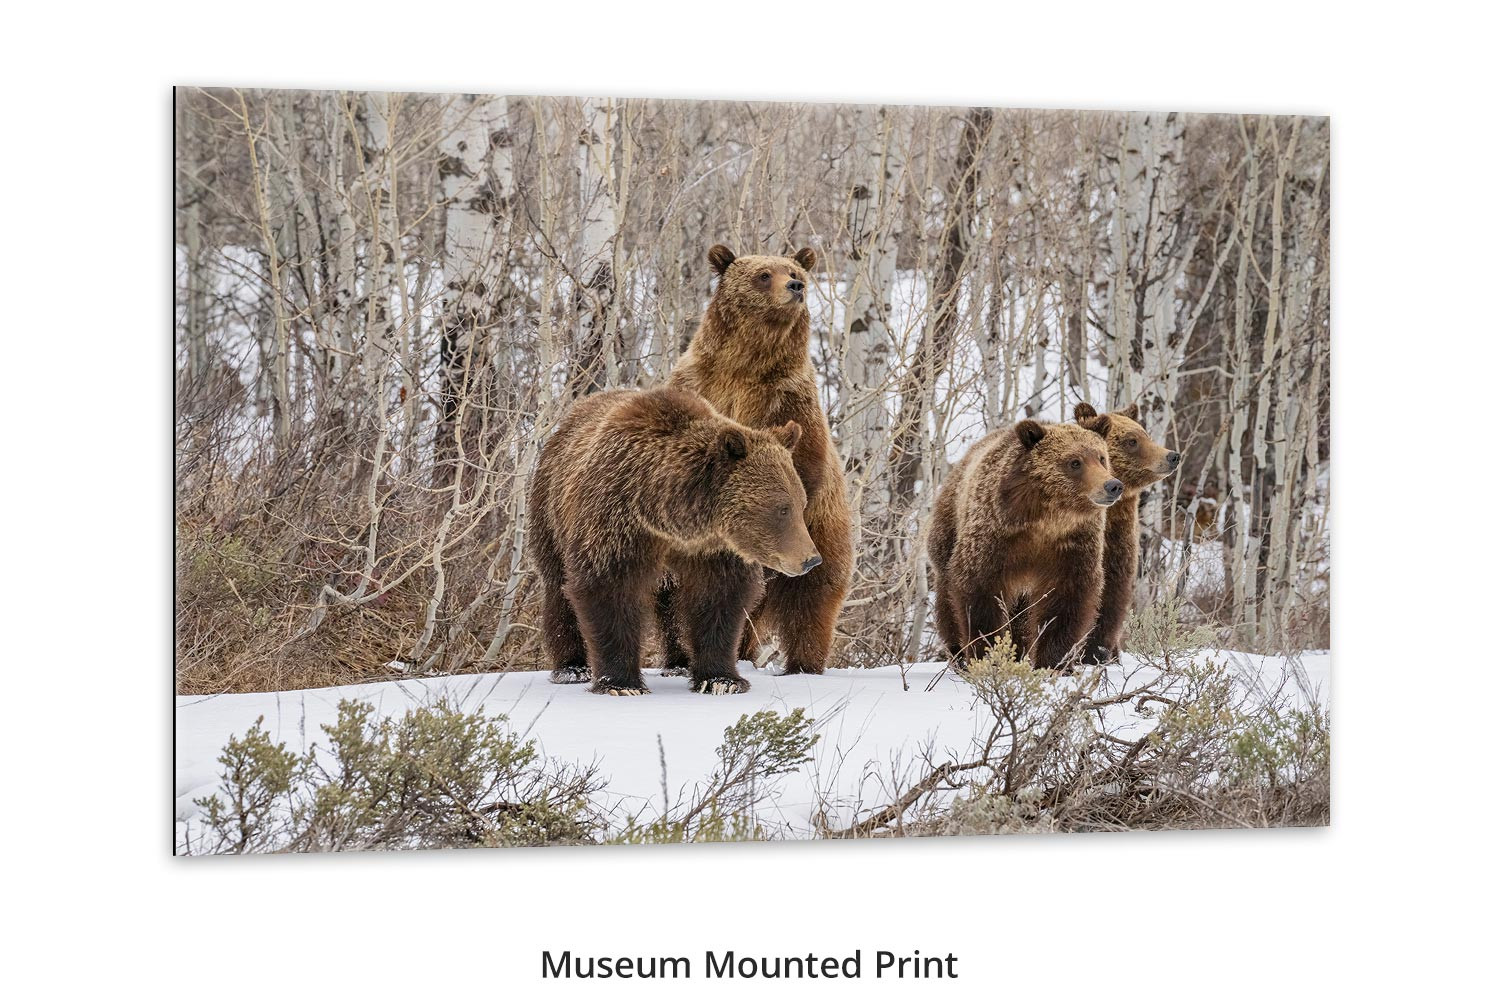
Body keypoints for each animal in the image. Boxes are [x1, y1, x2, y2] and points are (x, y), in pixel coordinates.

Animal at [527, 387, 819, 696]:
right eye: (782, 509)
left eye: (801, 503)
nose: (811, 559)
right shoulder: (616, 522)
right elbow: (608, 590)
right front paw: (621, 683)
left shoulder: (712, 550)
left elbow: (719, 599)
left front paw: (722, 679)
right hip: (551, 513)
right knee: (557, 588)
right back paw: (571, 667)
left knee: (670, 608)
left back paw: (678, 663)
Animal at [656, 244, 853, 676]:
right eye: (763, 274)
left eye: (795, 271)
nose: (795, 286)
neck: (745, 366)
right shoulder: (698, 384)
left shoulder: (790, 400)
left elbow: (804, 459)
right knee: (672, 598)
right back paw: (682, 657)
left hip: (824, 539)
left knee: (812, 601)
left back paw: (802, 663)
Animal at [927, 417, 1122, 672]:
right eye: (1074, 462)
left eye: (1101, 457)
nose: (1113, 485)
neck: (1046, 520)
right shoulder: (995, 537)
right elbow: (978, 591)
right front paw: (987, 655)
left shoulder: (1072, 546)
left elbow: (1067, 601)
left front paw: (1054, 663)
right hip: (948, 528)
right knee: (947, 599)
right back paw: (958, 654)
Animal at [1071, 402, 1181, 664]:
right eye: (1131, 440)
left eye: (1146, 434)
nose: (1172, 456)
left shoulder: (1120, 552)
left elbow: (1112, 600)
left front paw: (1102, 652)